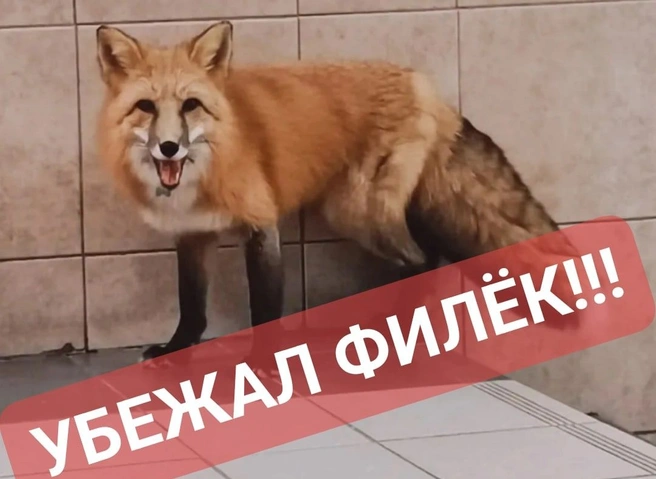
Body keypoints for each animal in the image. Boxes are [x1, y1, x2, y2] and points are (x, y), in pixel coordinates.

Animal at [94, 21, 582, 364]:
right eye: (146, 107)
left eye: (190, 106)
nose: (169, 147)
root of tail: (425, 87)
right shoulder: (193, 234)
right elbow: (191, 302)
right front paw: (176, 348)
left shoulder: (262, 223)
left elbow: (264, 305)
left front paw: (263, 365)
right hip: (358, 210)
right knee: (427, 254)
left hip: (358, 211)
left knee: (421, 258)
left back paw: (398, 332)